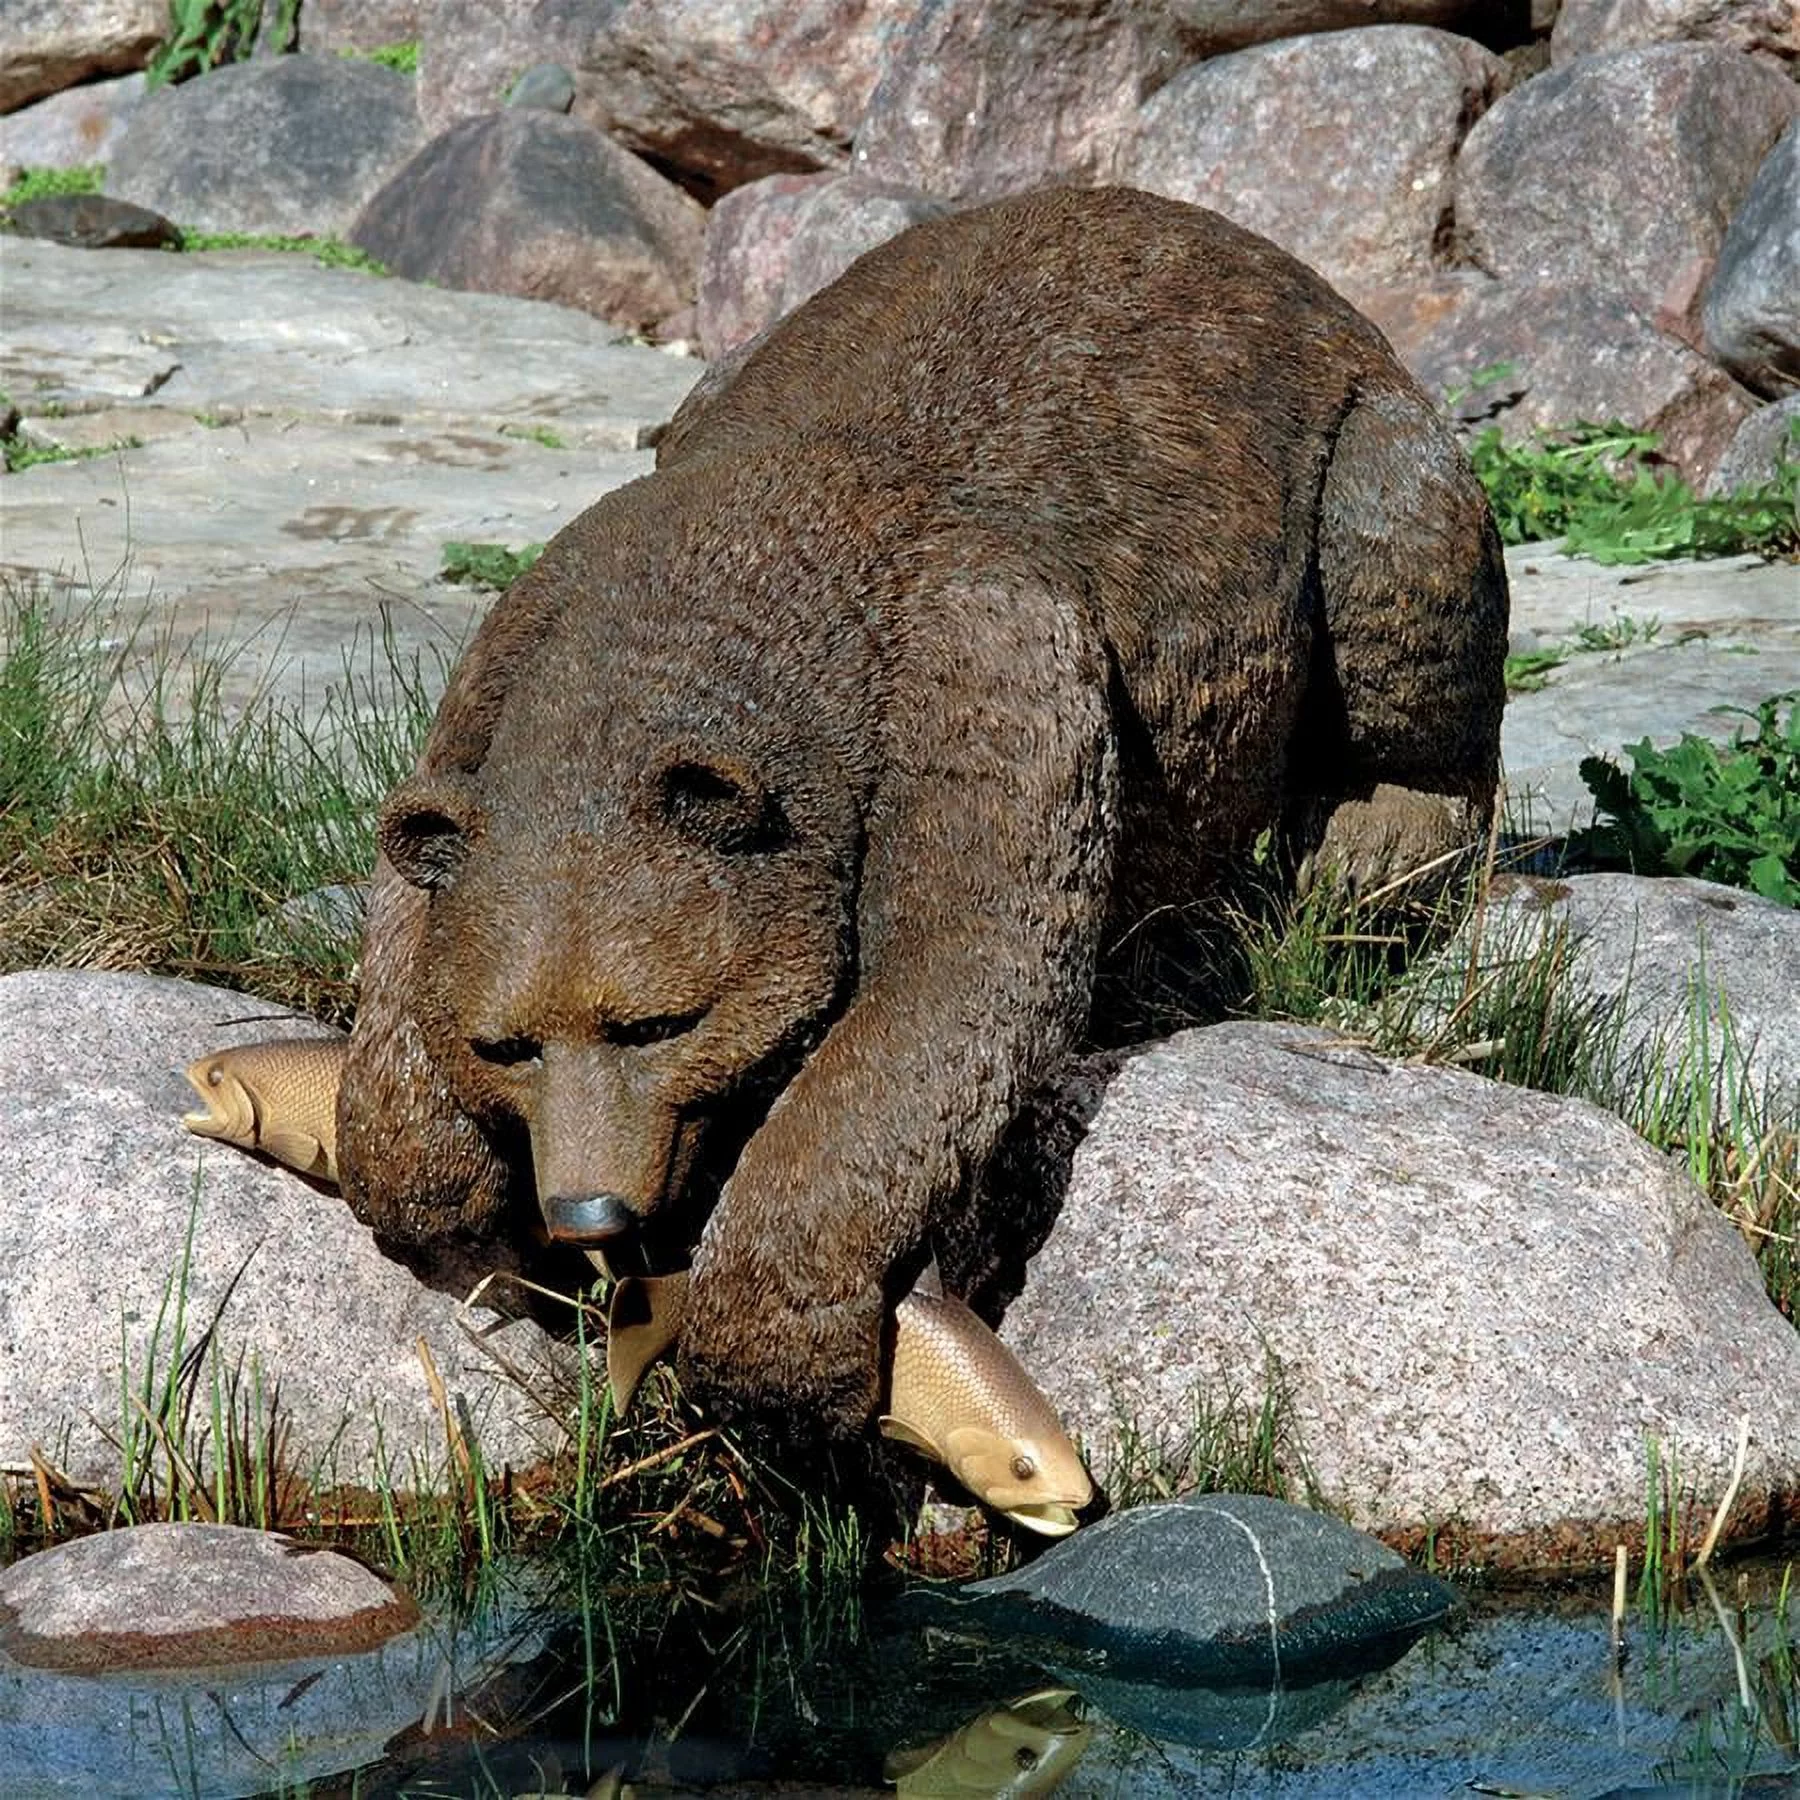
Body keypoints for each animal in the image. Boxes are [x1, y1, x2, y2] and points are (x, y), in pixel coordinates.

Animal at [337, 185, 1508, 1444]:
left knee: (1403, 581)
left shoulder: (984, 662)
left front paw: (776, 1357)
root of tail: (1310, 279)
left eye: (658, 1022)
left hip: (1363, 447)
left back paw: (1365, 851)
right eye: (505, 1043)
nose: (591, 1214)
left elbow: (955, 983)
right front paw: (447, 1193)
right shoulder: (509, 655)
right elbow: (406, 907)